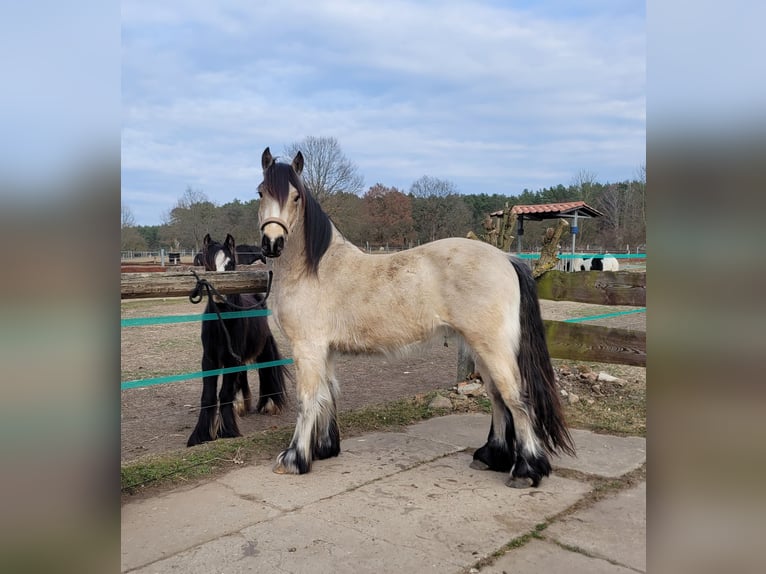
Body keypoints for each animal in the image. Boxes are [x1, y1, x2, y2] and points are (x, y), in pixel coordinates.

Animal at [186, 233, 289, 447]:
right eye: (208, 264)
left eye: (231, 263)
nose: (220, 296)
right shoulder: (210, 359)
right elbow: (208, 396)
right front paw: (200, 435)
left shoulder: (231, 359)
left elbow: (224, 393)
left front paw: (227, 431)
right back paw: (241, 405)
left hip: (262, 349)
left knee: (267, 370)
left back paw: (268, 404)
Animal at [257, 147, 575, 488]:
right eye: (261, 192)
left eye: (295, 197)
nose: (272, 244)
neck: (314, 269)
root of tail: (506, 258)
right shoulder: (324, 350)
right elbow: (327, 395)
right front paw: (323, 449)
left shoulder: (307, 347)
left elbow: (307, 400)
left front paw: (294, 459)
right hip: (481, 348)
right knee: (497, 397)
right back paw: (492, 456)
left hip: (493, 347)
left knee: (516, 397)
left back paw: (526, 470)